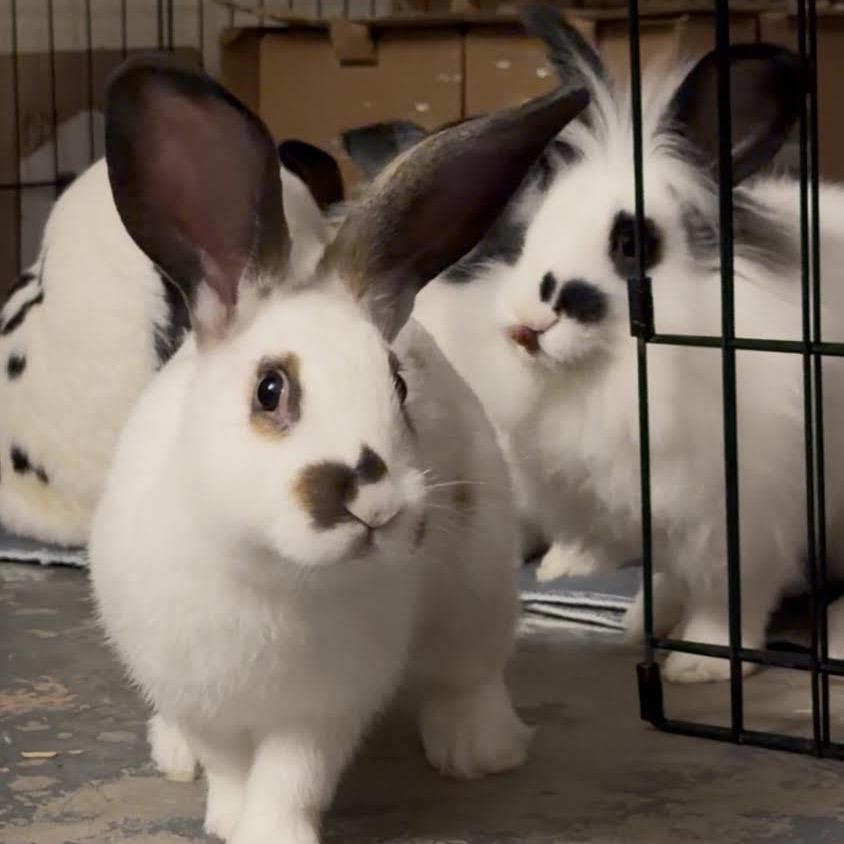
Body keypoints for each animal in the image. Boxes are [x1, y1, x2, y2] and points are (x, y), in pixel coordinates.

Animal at [88, 55, 588, 843]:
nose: (376, 503)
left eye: (398, 385)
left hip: (477, 589)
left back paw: (480, 749)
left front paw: (269, 834)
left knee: (469, 671)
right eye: (270, 390)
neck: (274, 575)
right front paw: (226, 818)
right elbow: (227, 763)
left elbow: (291, 778)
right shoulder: (201, 696)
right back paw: (171, 754)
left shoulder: (323, 710)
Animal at [414, 1, 844, 684]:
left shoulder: (749, 515)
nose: (527, 325)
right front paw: (646, 620)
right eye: (525, 233)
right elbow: (673, 572)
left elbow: (732, 595)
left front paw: (699, 664)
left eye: (632, 244)